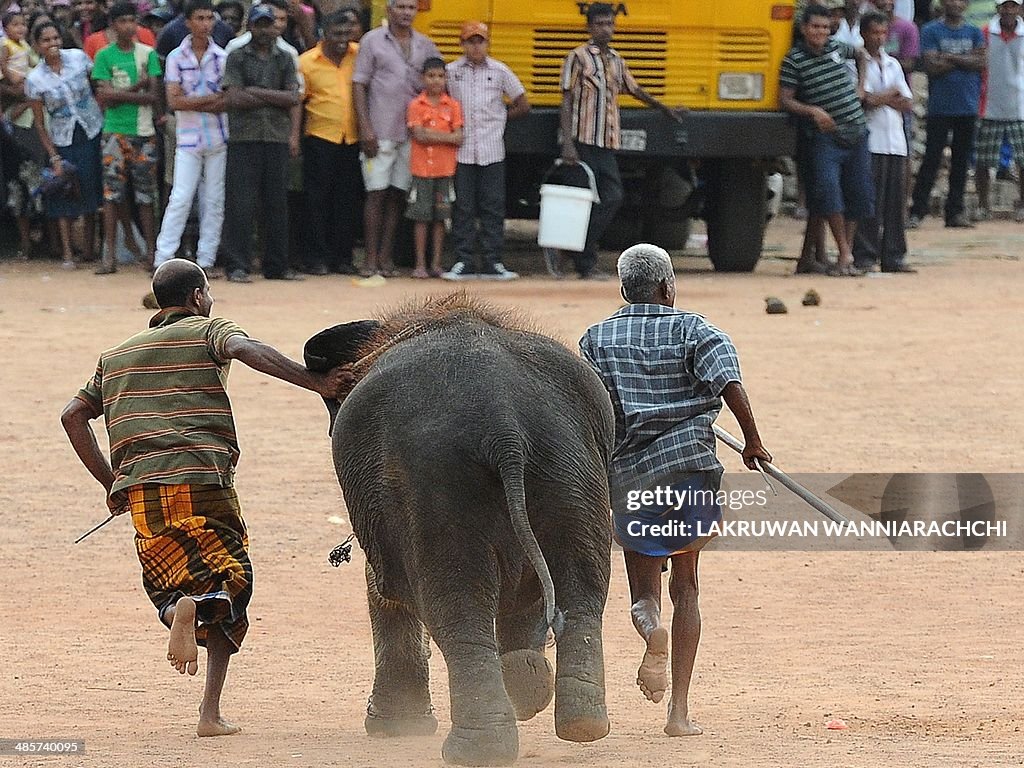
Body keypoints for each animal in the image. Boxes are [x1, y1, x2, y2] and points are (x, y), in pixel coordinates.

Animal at [301, 292, 606, 765]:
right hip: (569, 464)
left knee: (454, 606)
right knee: (580, 588)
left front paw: (393, 730)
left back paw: (475, 747)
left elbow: (384, 584)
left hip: (439, 477)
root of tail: (504, 426)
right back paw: (567, 715)